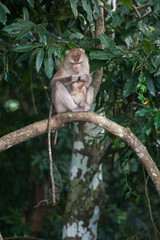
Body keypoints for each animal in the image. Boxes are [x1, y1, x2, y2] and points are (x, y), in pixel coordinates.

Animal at [47, 48, 94, 204]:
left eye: (80, 62)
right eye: (73, 63)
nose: (77, 69)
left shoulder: (86, 66)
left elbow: (89, 81)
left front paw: (84, 78)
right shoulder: (62, 68)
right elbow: (53, 82)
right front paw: (72, 79)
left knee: (91, 88)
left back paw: (85, 106)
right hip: (60, 107)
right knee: (58, 86)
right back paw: (74, 109)